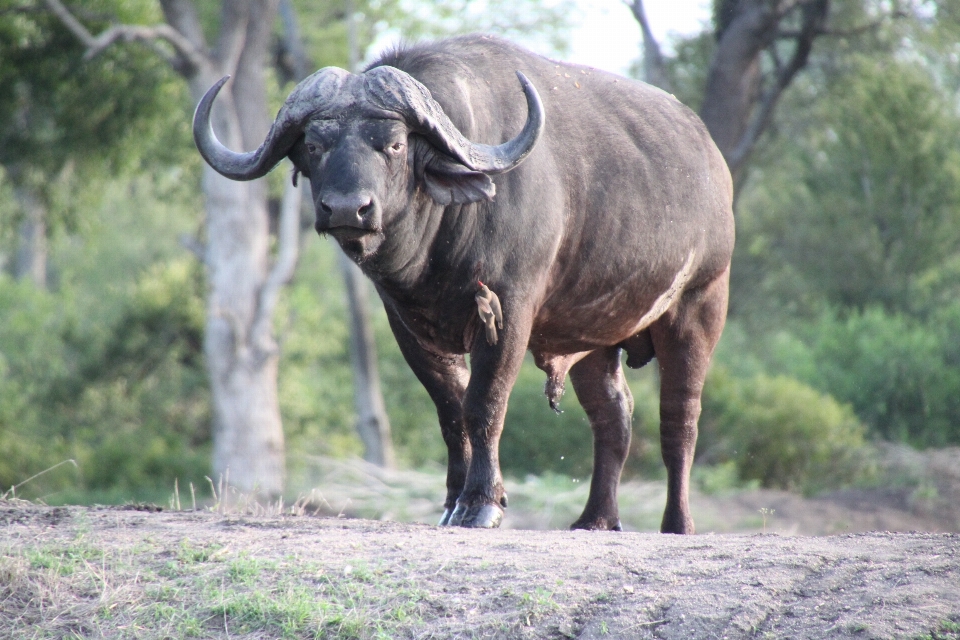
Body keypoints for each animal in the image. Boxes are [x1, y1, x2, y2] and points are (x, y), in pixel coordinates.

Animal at [195, 33, 736, 528]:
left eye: (394, 145)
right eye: (313, 145)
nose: (348, 209)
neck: (440, 244)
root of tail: (712, 160)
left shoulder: (509, 312)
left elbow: (484, 404)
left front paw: (481, 503)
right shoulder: (410, 327)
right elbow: (451, 412)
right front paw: (453, 501)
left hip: (698, 308)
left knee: (679, 420)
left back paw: (677, 523)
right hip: (593, 338)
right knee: (613, 417)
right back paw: (595, 519)